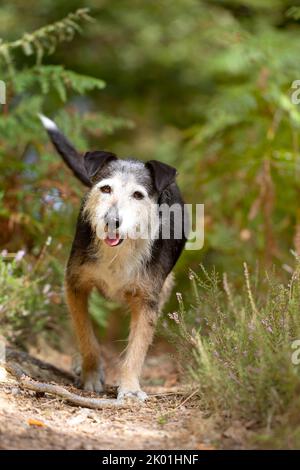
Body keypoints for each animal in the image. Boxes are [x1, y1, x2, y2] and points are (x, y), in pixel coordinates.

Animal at [39, 115, 188, 402]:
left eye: (138, 195)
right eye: (106, 189)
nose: (111, 221)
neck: (121, 249)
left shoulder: (147, 300)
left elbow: (137, 347)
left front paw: (129, 387)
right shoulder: (75, 284)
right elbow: (86, 335)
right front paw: (90, 374)